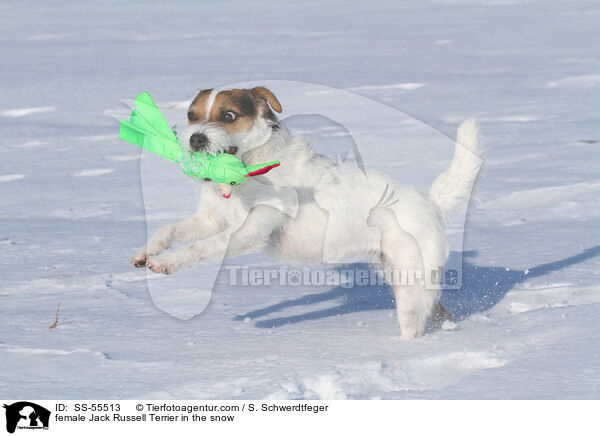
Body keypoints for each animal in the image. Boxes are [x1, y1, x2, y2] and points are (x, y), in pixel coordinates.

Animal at [132, 87, 482, 338]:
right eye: (192, 115)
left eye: (229, 115)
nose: (195, 139)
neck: (250, 168)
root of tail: (430, 201)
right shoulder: (211, 219)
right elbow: (170, 230)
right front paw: (146, 252)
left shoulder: (249, 232)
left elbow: (202, 247)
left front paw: (167, 263)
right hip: (397, 272)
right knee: (437, 311)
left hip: (411, 285)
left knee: (415, 325)